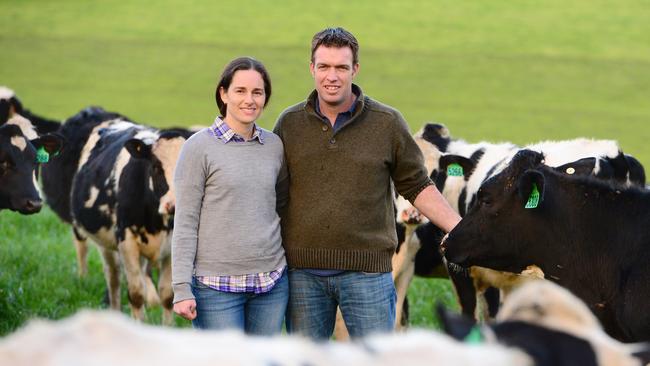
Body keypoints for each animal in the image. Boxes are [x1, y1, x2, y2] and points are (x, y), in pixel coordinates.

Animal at [40, 106, 191, 324]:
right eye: (156, 167)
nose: (174, 205)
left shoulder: (171, 247)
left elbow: (167, 296)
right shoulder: (126, 240)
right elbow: (135, 295)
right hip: (101, 239)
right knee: (112, 278)